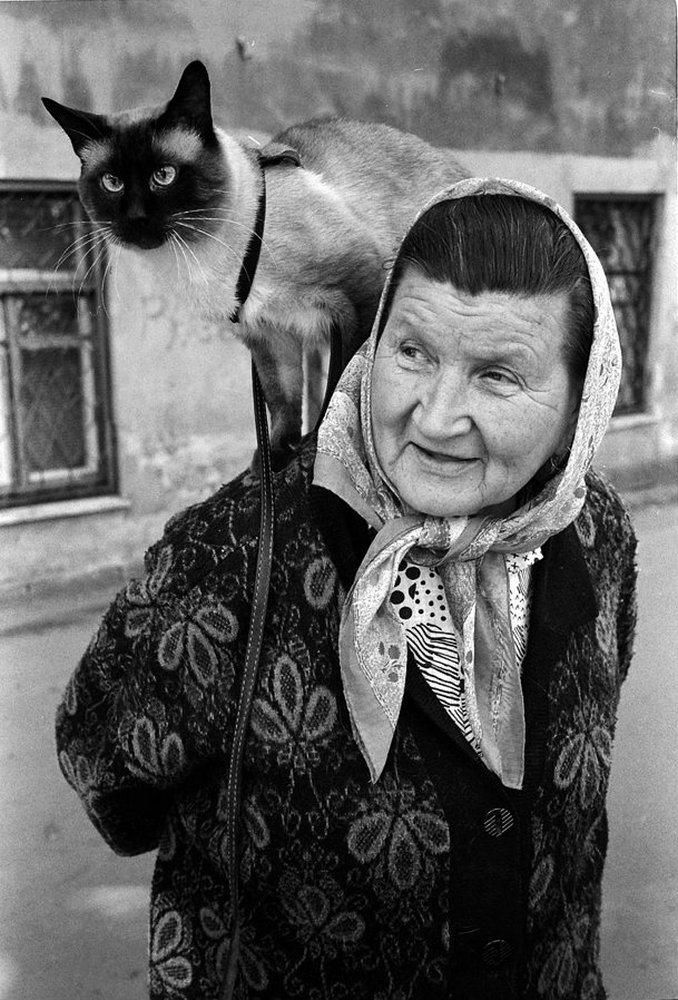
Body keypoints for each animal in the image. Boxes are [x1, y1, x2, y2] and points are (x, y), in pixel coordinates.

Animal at [42, 60, 469, 462]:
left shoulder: (358, 290)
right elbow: (282, 399)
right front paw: (275, 456)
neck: (202, 258)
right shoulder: (268, 333)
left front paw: (319, 442)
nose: (135, 219)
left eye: (164, 175)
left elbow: (341, 382)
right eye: (111, 183)